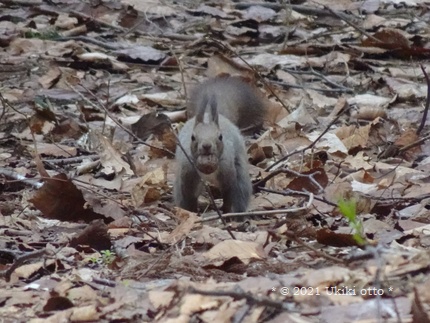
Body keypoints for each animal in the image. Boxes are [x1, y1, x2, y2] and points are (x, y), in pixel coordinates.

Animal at [173, 75, 264, 213]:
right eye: (192, 137)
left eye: (220, 137)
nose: (206, 146)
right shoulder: (188, 172)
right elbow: (189, 196)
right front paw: (192, 211)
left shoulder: (227, 171)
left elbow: (228, 193)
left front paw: (225, 210)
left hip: (240, 174)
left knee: (240, 192)